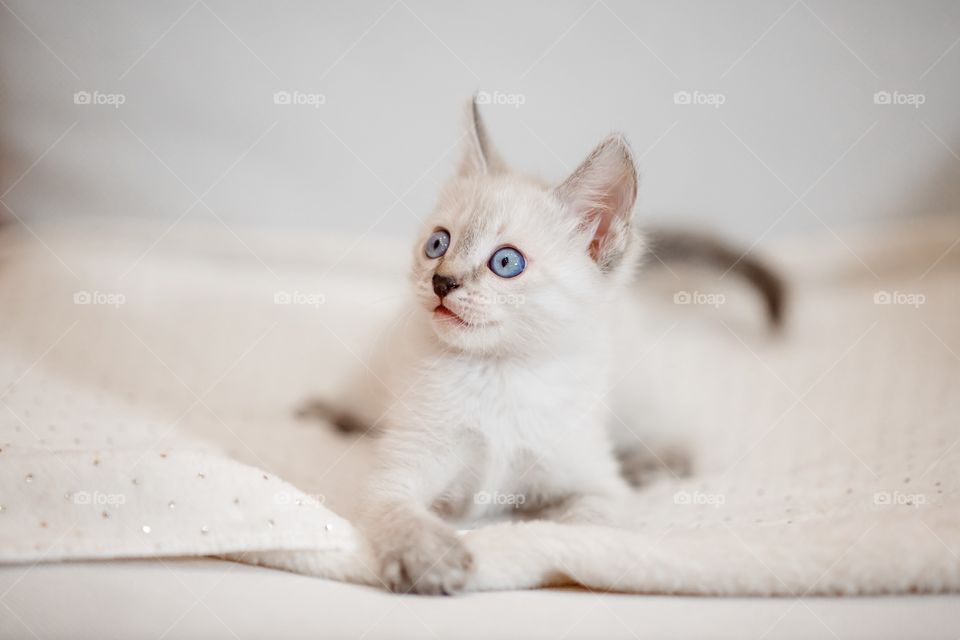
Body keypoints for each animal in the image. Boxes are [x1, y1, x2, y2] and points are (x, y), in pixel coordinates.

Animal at [310, 101, 788, 596]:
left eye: (506, 262)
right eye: (437, 243)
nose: (442, 281)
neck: (500, 372)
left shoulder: (599, 486)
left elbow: (577, 528)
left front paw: (545, 532)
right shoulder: (398, 472)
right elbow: (395, 508)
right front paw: (427, 555)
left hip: (637, 392)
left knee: (670, 430)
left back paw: (654, 461)